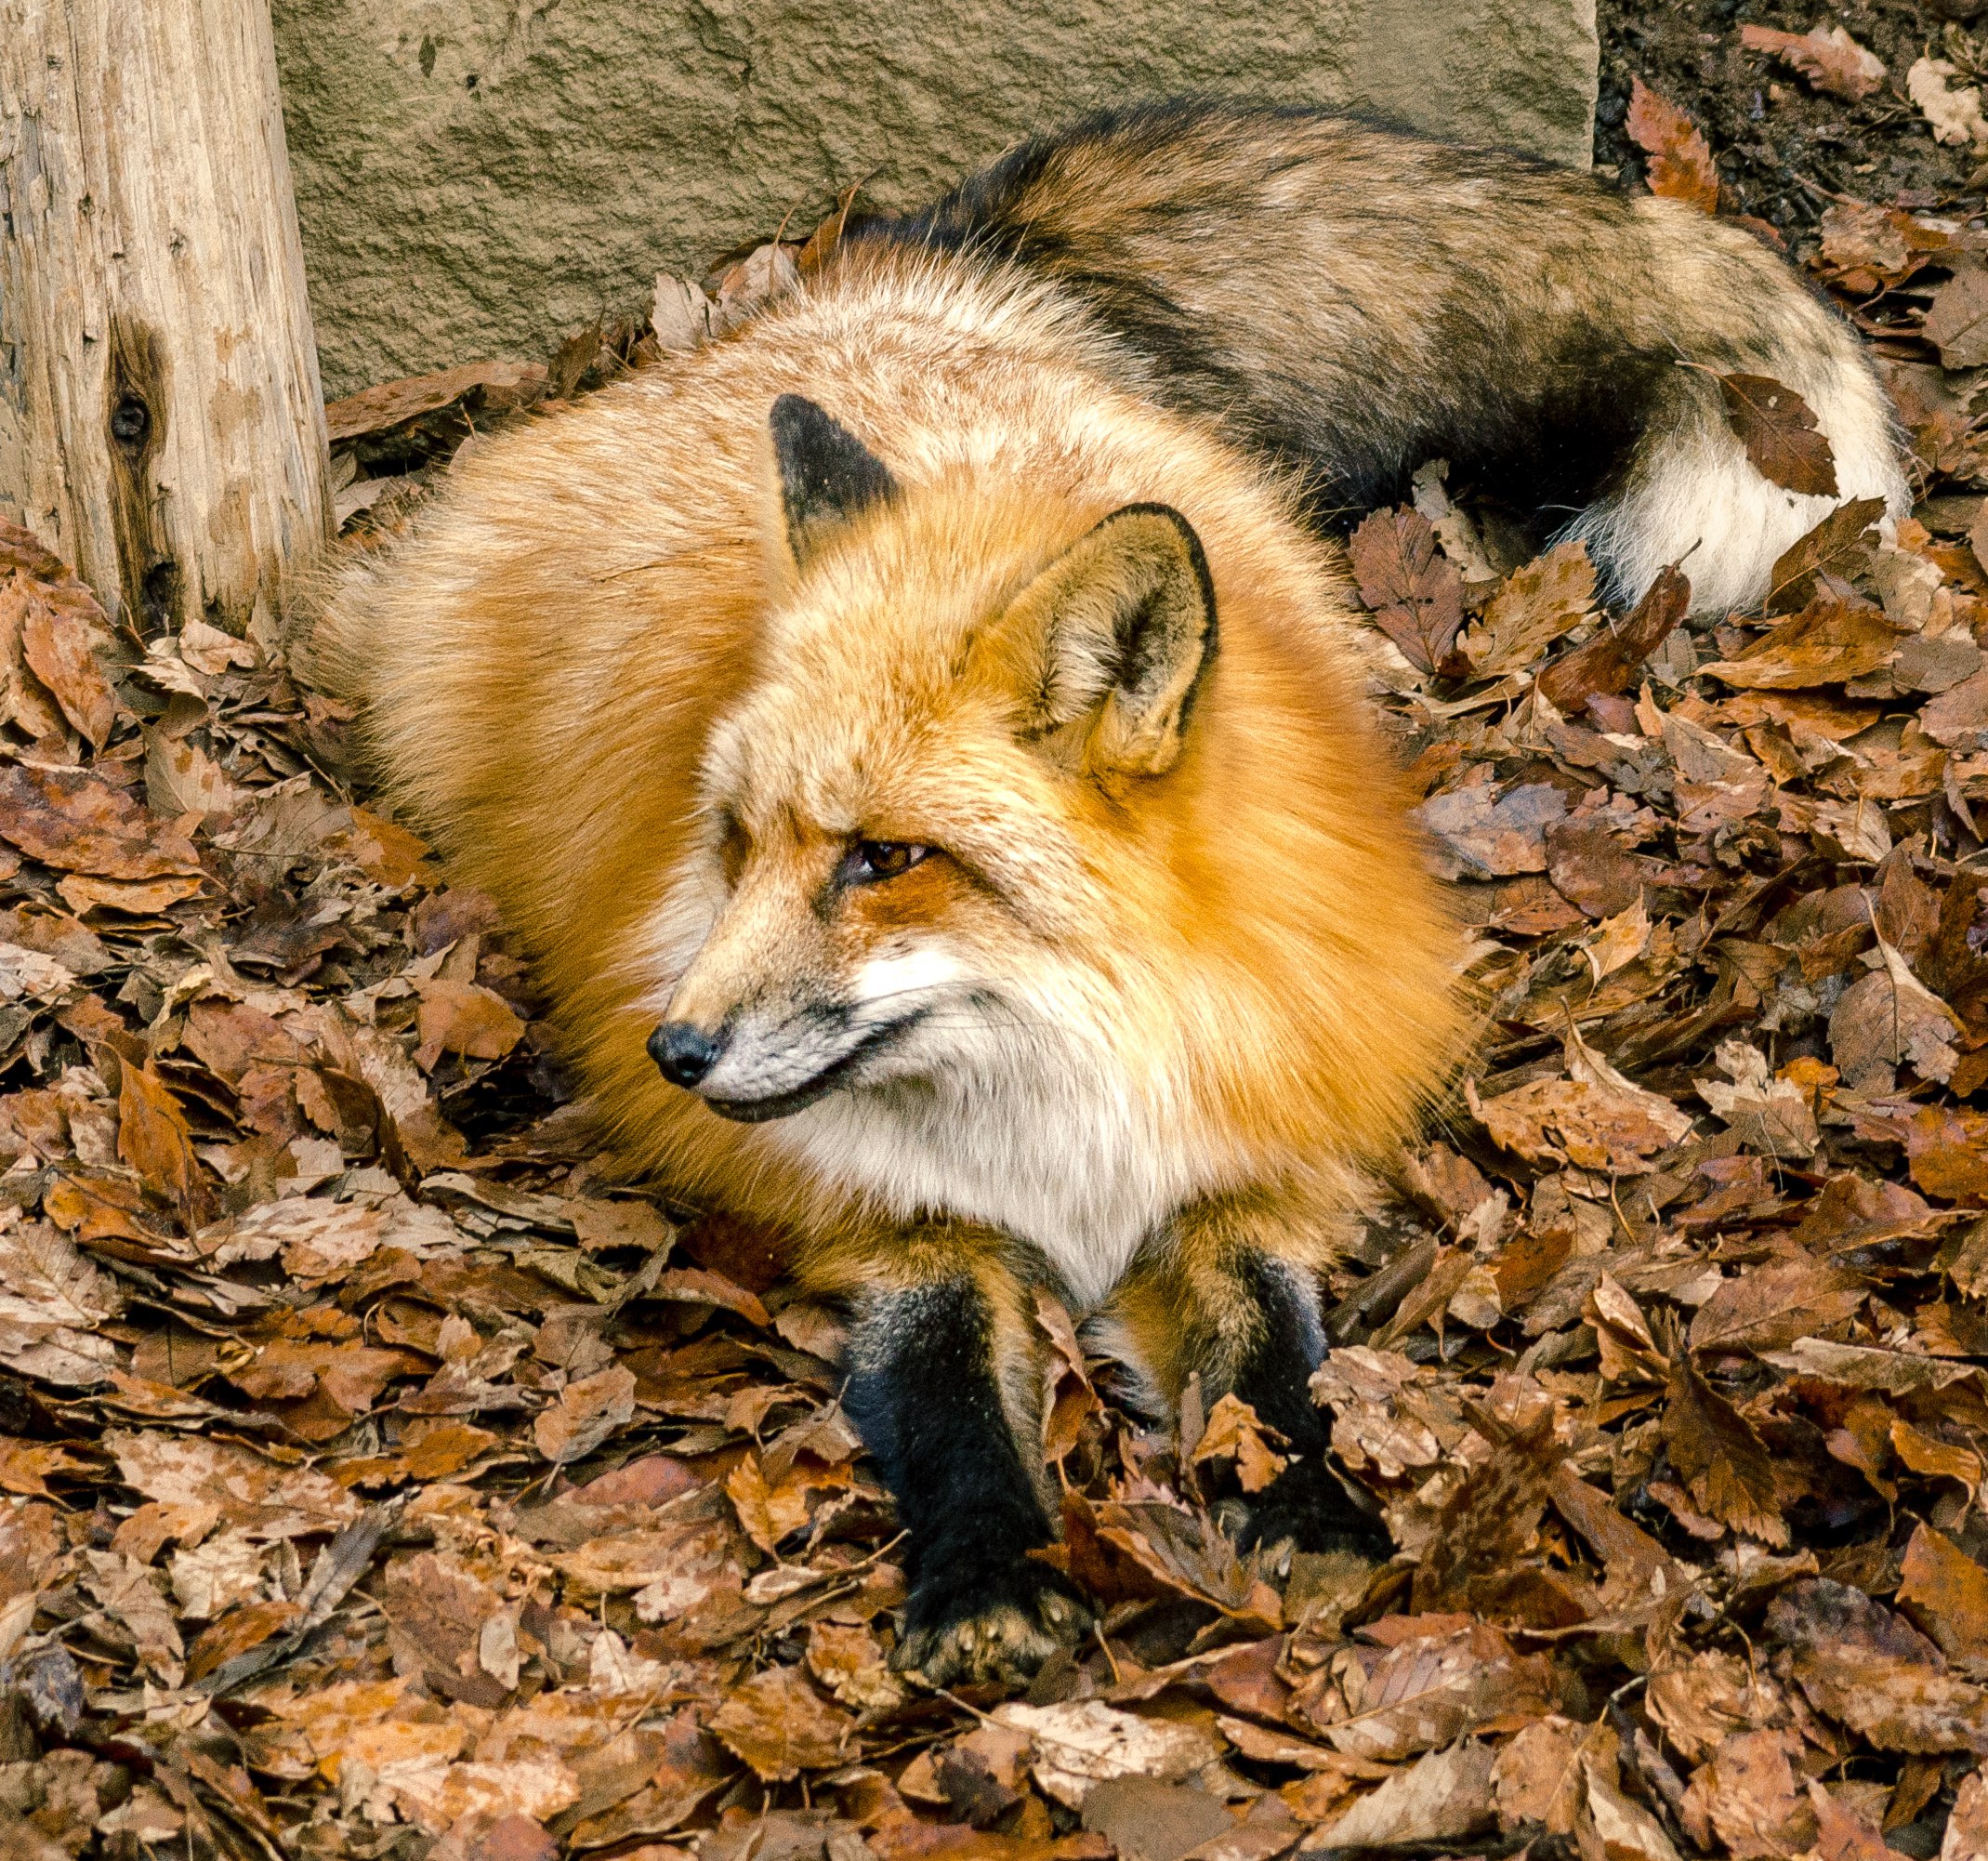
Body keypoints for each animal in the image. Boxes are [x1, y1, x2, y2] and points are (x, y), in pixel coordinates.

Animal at [316, 101, 1906, 1688]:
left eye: (882, 859)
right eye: (735, 839)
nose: (673, 1051)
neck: (1067, 1073)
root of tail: (906, 300)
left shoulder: (1243, 1155)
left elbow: (1270, 1357)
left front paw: (1302, 1502)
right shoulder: (899, 1223)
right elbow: (947, 1388)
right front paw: (987, 1570)